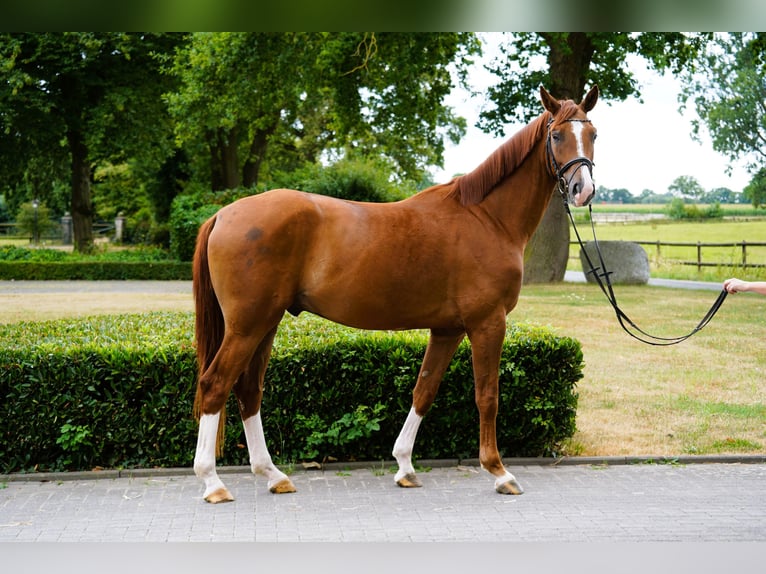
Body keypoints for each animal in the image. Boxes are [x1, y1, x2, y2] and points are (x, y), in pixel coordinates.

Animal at [192, 85, 599, 503]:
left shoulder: (448, 329)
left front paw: (405, 466)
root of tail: (223, 215)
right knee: (215, 385)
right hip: (247, 326)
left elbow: (424, 390)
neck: (488, 218)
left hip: (265, 324)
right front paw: (499, 471)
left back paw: (273, 475)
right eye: (556, 135)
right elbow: (487, 395)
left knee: (248, 391)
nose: (583, 190)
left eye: (593, 134)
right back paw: (213, 481)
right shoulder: (487, 323)